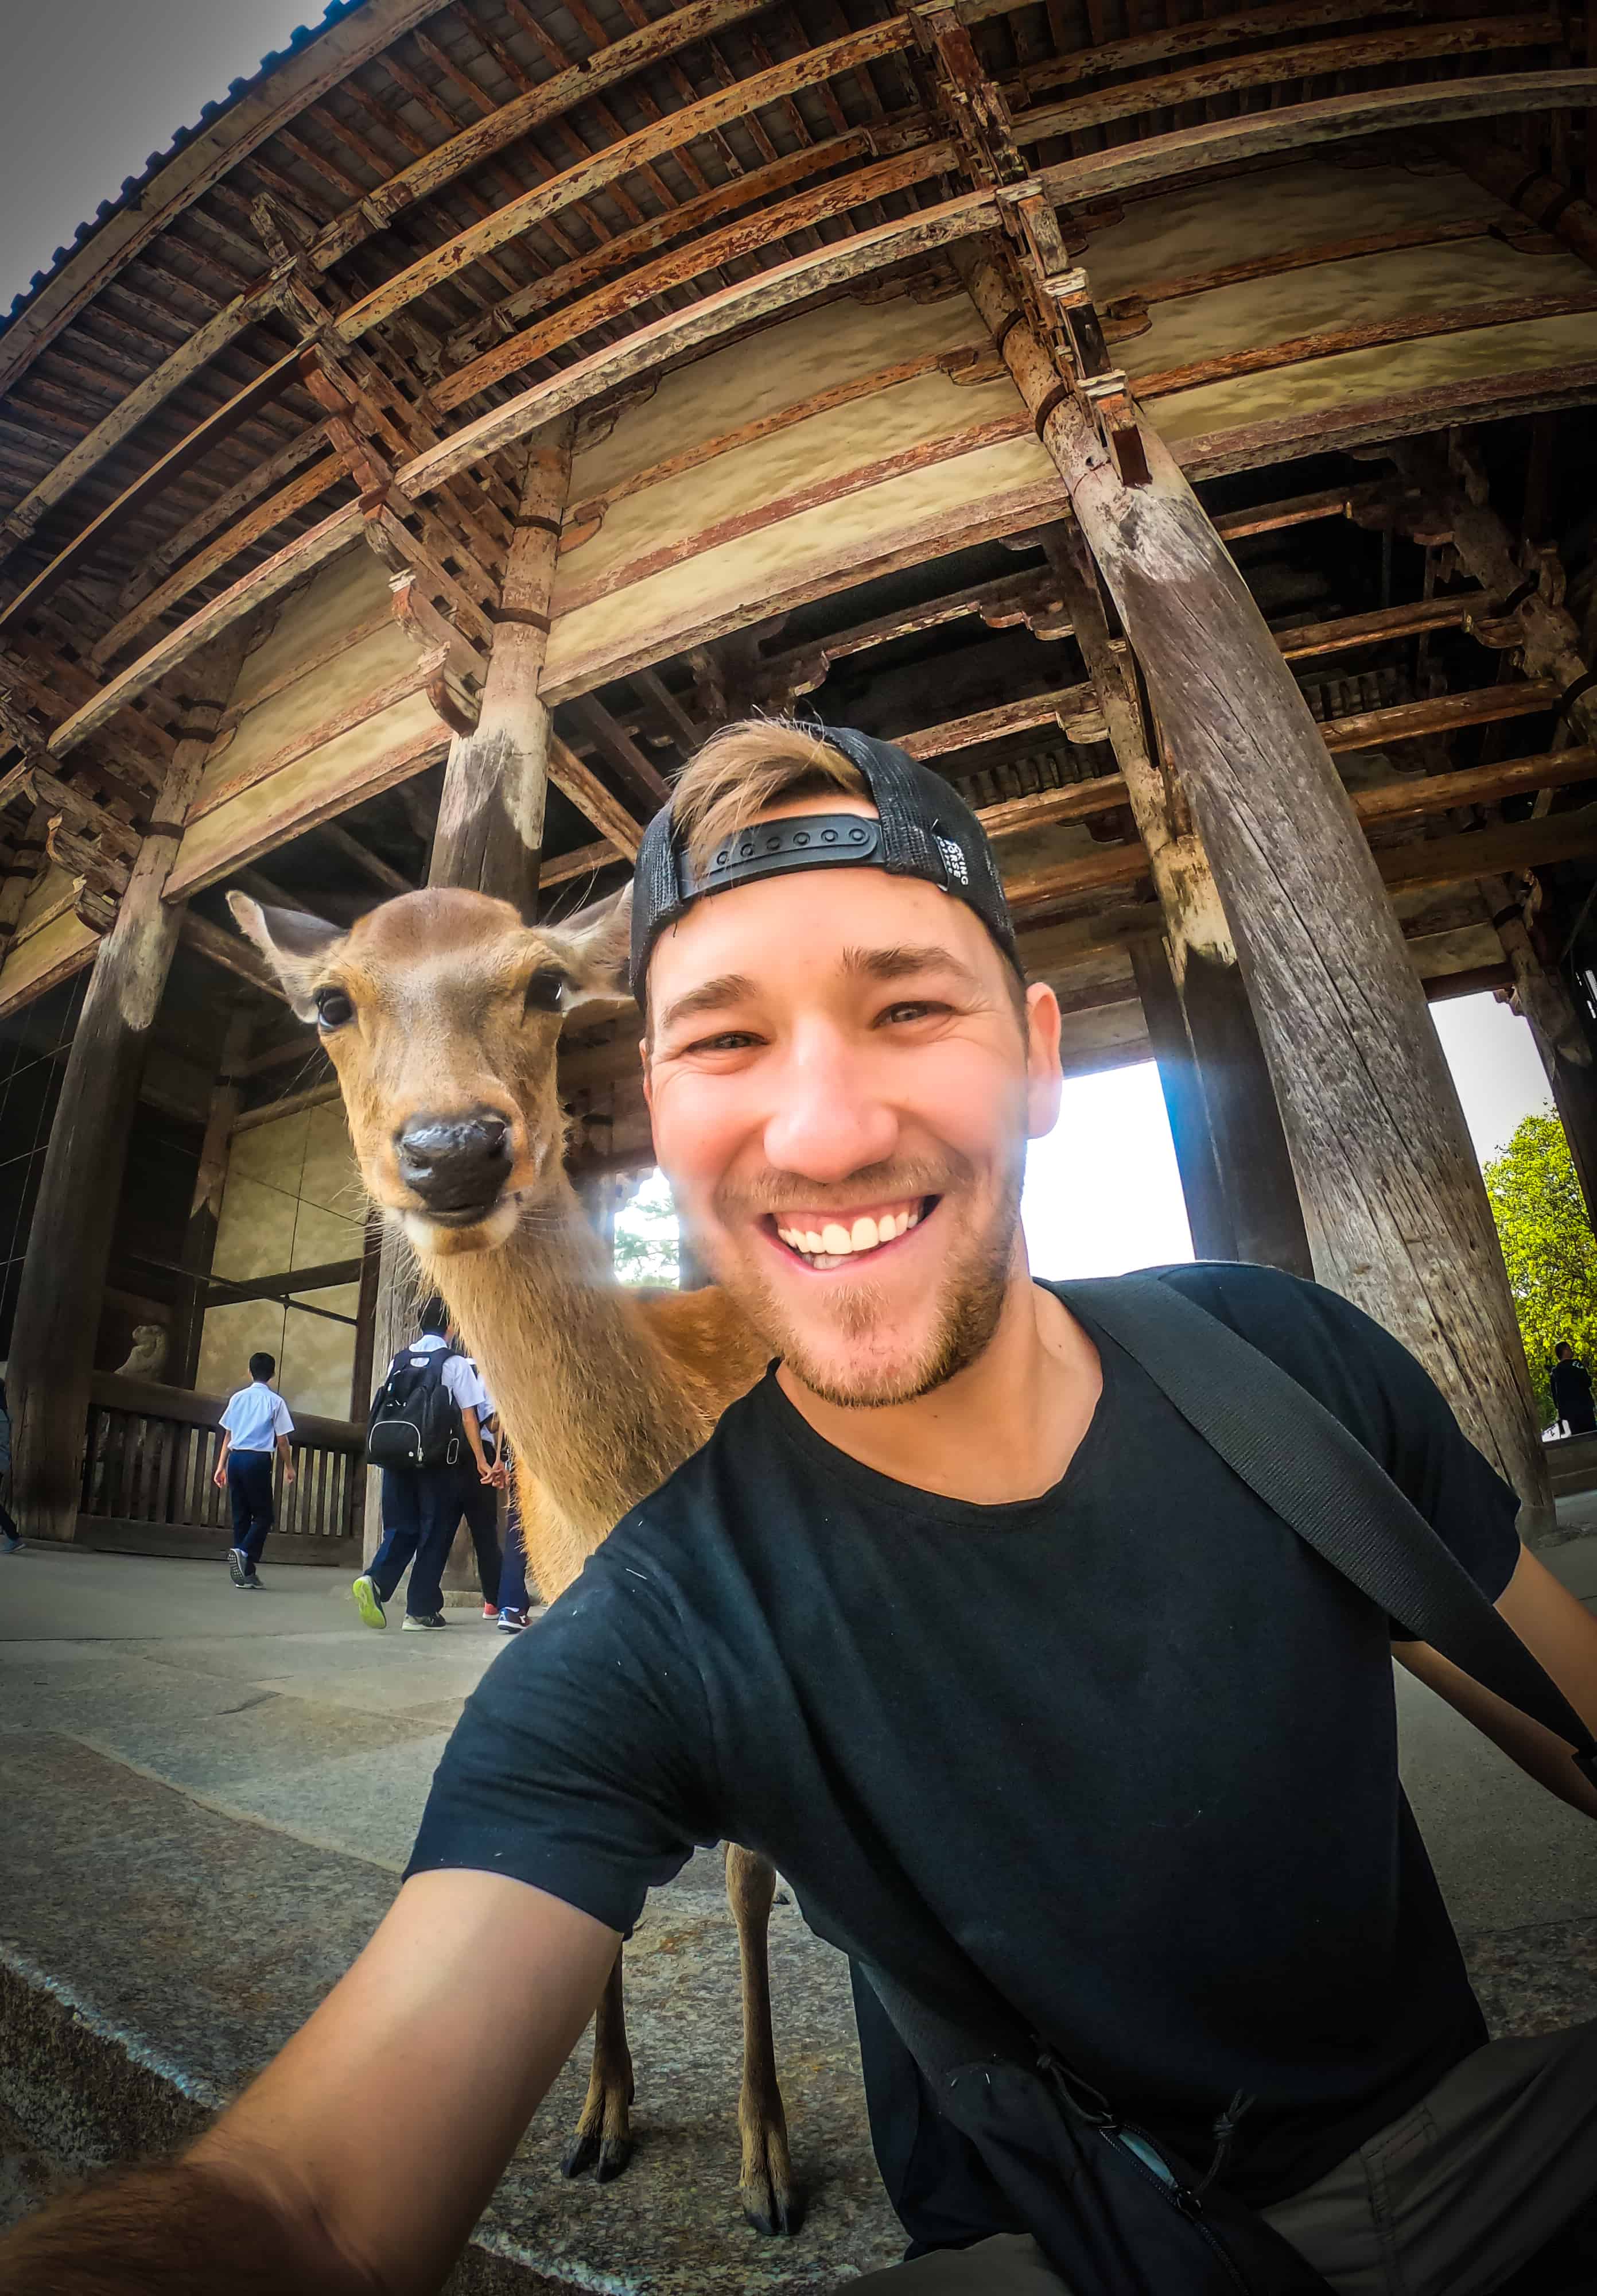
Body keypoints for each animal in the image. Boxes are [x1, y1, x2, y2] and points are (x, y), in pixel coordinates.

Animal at [224, 882, 798, 2241]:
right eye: (330, 1003)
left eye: (544, 982)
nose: (452, 1146)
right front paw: (597, 2122)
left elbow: (746, 1877)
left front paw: (765, 2166)